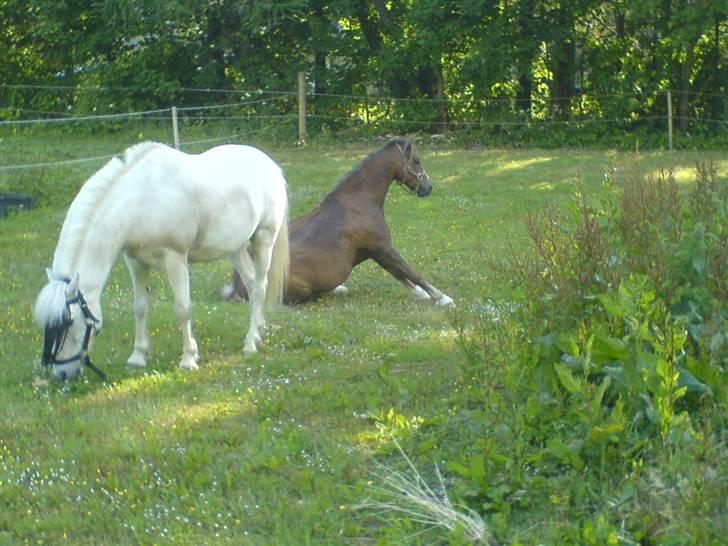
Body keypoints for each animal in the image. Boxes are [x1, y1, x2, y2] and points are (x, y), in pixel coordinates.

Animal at [34, 141, 290, 378]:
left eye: (68, 323)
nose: (62, 374)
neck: (139, 201)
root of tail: (270, 164)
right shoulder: (135, 262)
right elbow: (139, 307)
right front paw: (138, 356)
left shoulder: (175, 258)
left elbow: (183, 309)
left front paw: (189, 359)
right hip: (234, 249)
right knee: (251, 283)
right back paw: (258, 330)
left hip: (264, 239)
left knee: (260, 287)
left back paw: (250, 343)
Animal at [219, 136, 452, 306]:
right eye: (416, 161)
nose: (428, 187)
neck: (358, 201)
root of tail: (238, 286)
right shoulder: (383, 248)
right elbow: (411, 272)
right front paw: (443, 299)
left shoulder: (377, 253)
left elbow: (400, 275)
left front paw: (423, 295)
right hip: (300, 291)